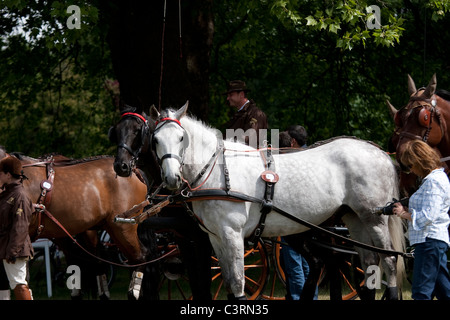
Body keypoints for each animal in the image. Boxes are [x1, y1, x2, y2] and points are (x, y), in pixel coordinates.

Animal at [149, 102, 406, 300]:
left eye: (181, 138)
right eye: (155, 140)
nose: (171, 178)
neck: (217, 172)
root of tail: (380, 153)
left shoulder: (232, 234)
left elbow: (238, 284)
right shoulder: (216, 237)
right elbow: (229, 282)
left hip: (374, 218)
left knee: (389, 259)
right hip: (353, 217)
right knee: (369, 262)